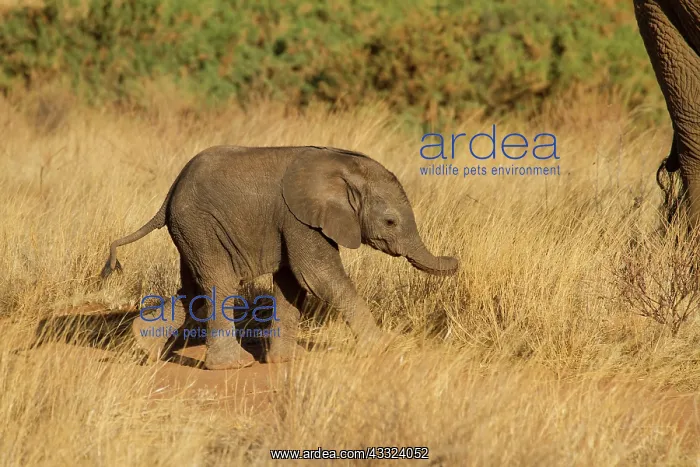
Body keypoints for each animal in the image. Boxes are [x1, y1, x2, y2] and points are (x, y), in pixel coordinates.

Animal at [100, 145, 459, 370]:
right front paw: (381, 347)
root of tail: (169, 194)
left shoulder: (294, 221)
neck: (342, 167)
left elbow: (292, 284)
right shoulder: (298, 217)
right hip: (201, 225)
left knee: (193, 290)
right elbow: (317, 276)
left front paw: (287, 361)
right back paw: (233, 365)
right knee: (220, 284)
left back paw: (142, 348)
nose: (456, 259)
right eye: (390, 222)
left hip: (192, 232)